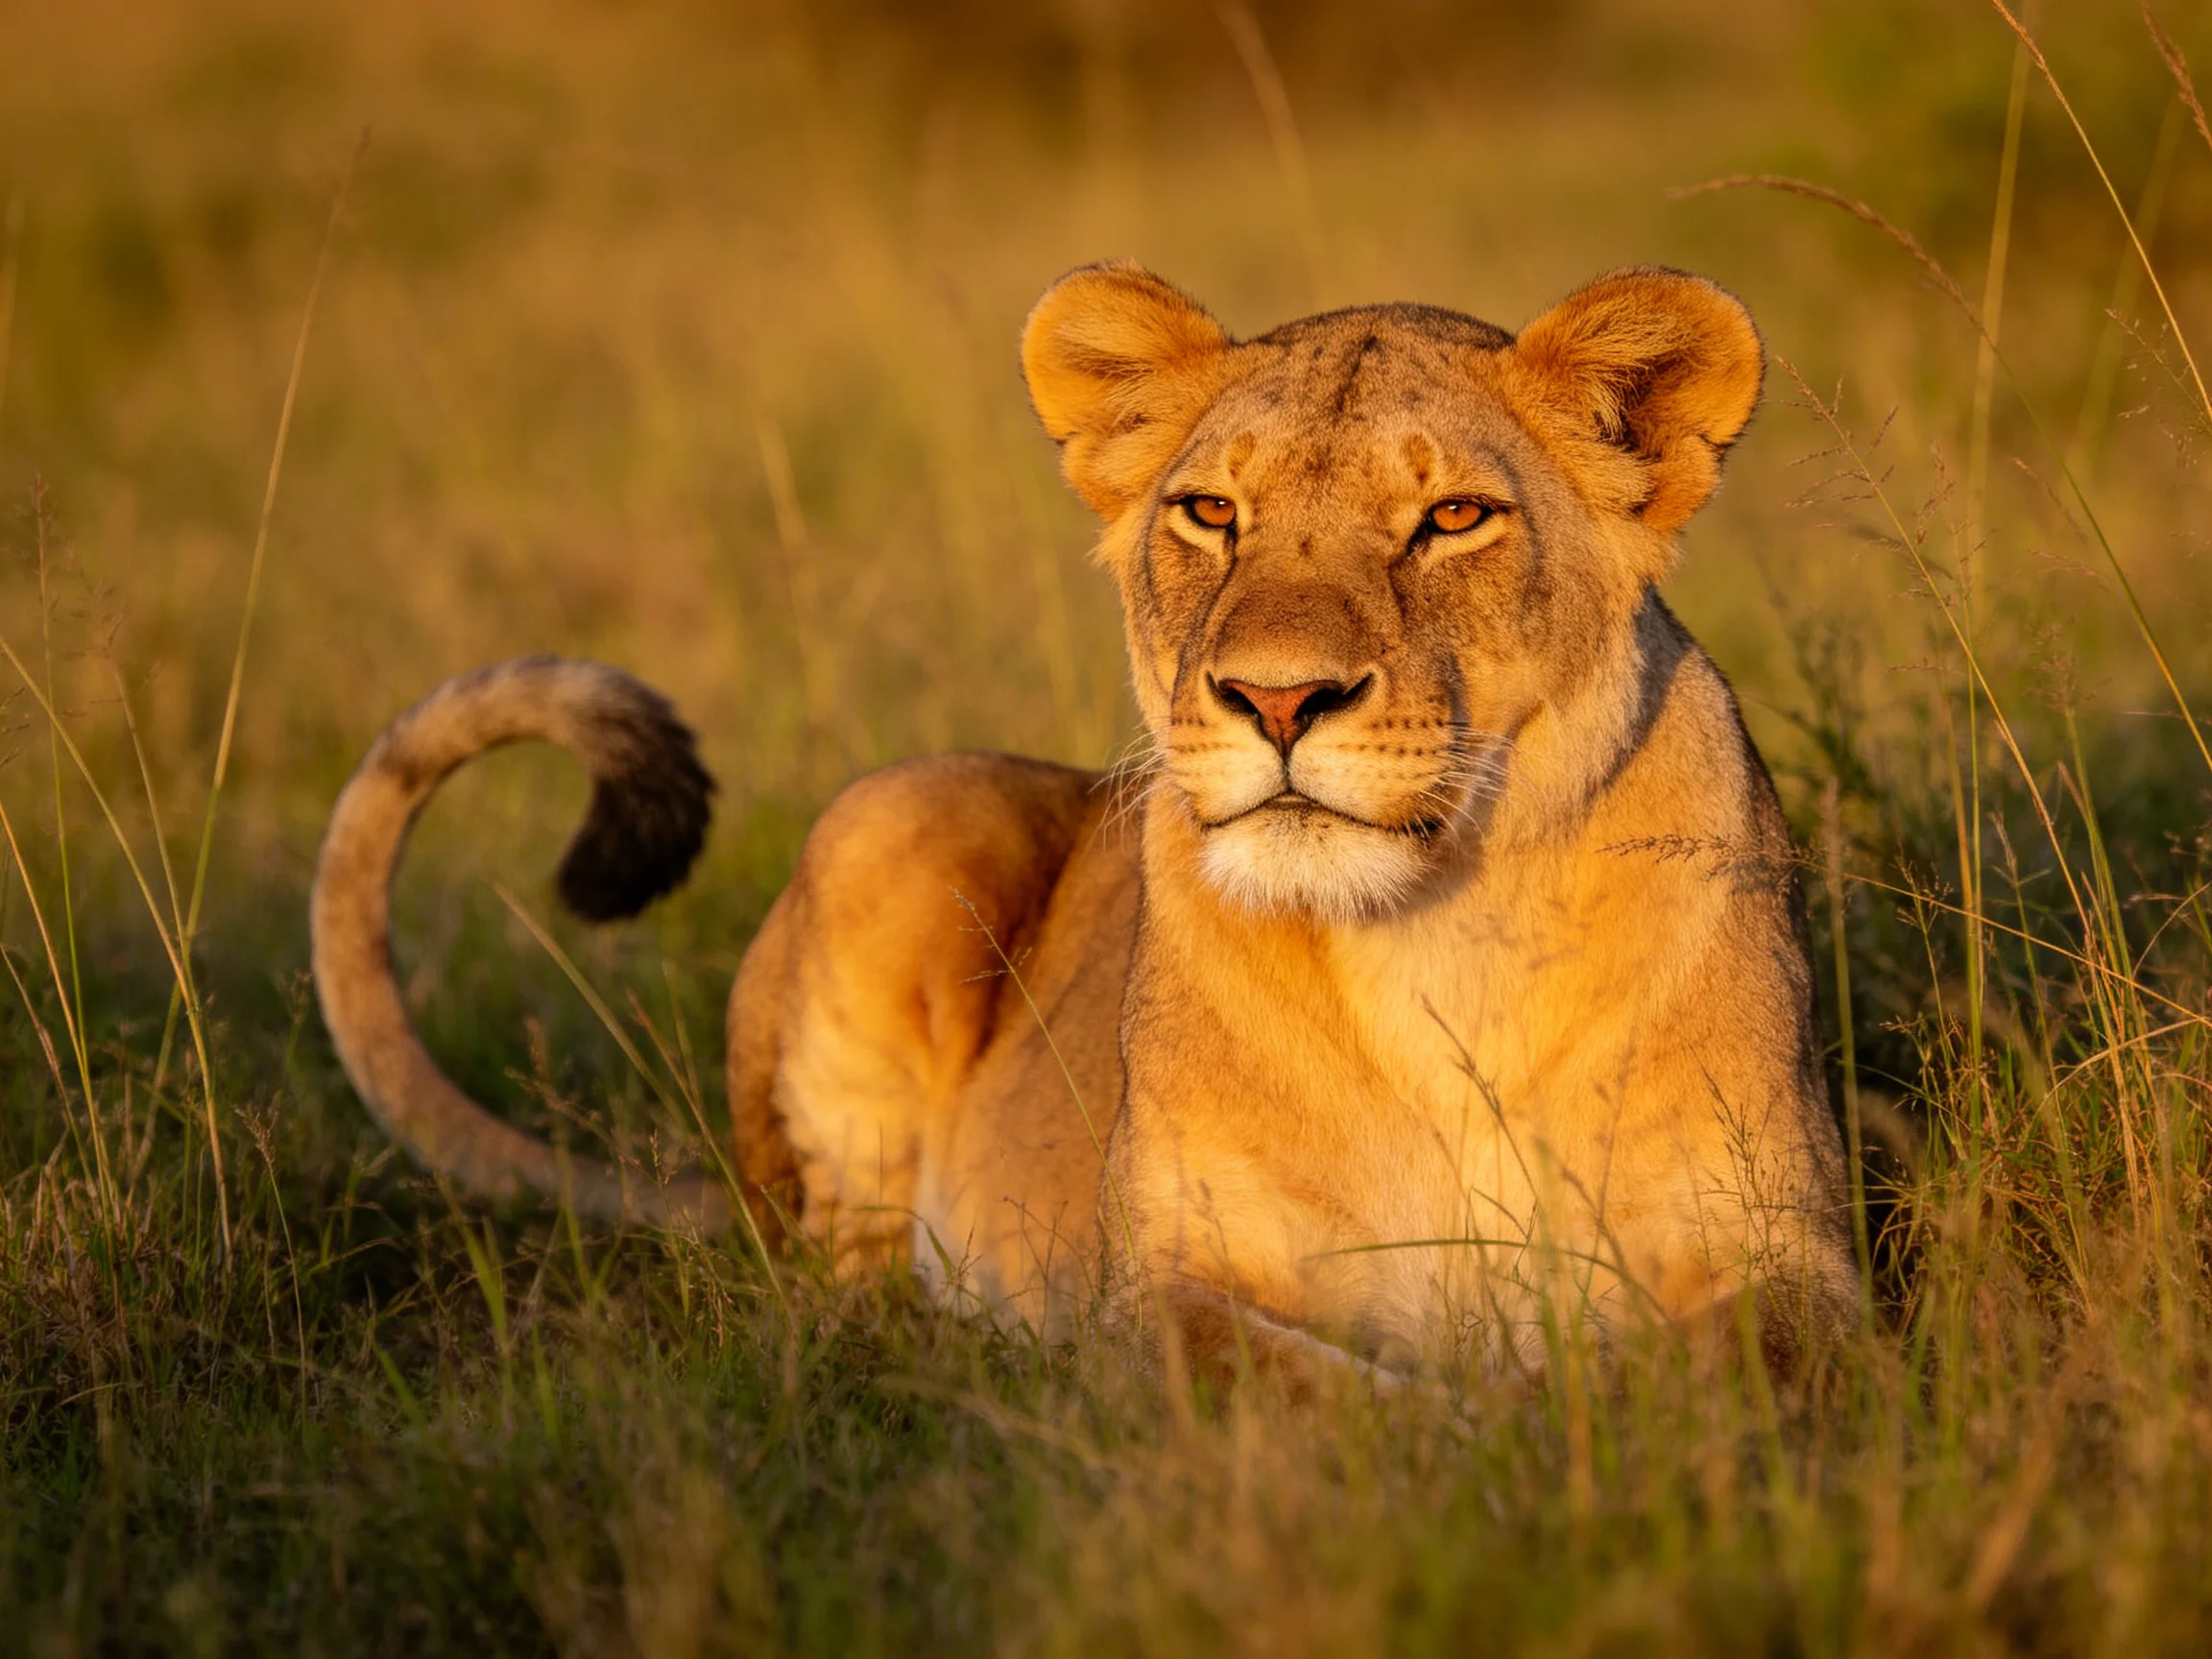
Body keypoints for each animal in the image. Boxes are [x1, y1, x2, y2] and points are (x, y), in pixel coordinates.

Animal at [312, 263, 1858, 1390]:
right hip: (899, 814)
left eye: (1456, 518)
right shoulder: (1161, 1291)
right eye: (1210, 512)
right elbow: (1338, 1402)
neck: (1435, 940)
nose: (1276, 696)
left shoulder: (1790, 1263)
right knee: (831, 1293)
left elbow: (1713, 1384)